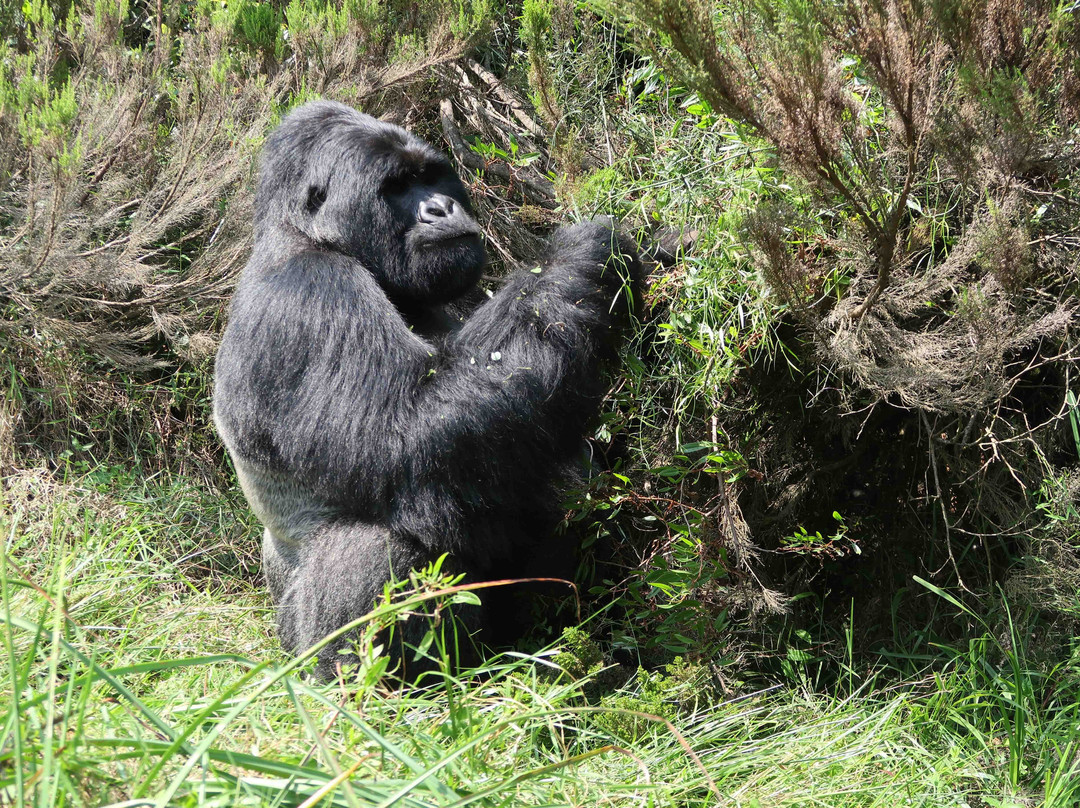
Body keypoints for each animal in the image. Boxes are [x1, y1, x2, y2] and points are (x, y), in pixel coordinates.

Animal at [214, 102, 643, 682]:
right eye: (397, 186)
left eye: (432, 177)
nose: (441, 208)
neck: (304, 233)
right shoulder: (309, 294)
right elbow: (414, 437)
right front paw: (586, 256)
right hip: (297, 653)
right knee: (378, 548)